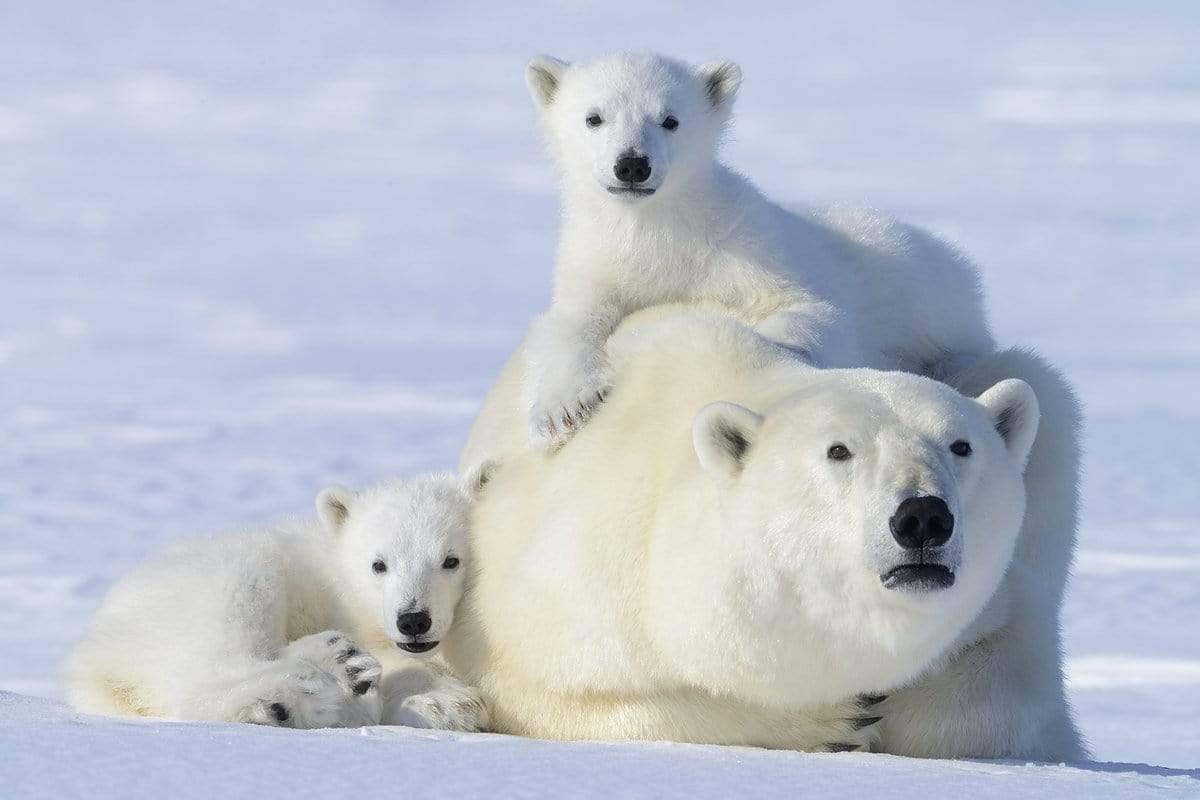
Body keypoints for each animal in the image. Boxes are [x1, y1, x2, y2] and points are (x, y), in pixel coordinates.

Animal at [451, 309, 1051, 753]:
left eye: (961, 445)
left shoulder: (994, 607)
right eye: (839, 450)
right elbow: (556, 697)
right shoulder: (566, 585)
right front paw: (835, 720)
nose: (922, 516)